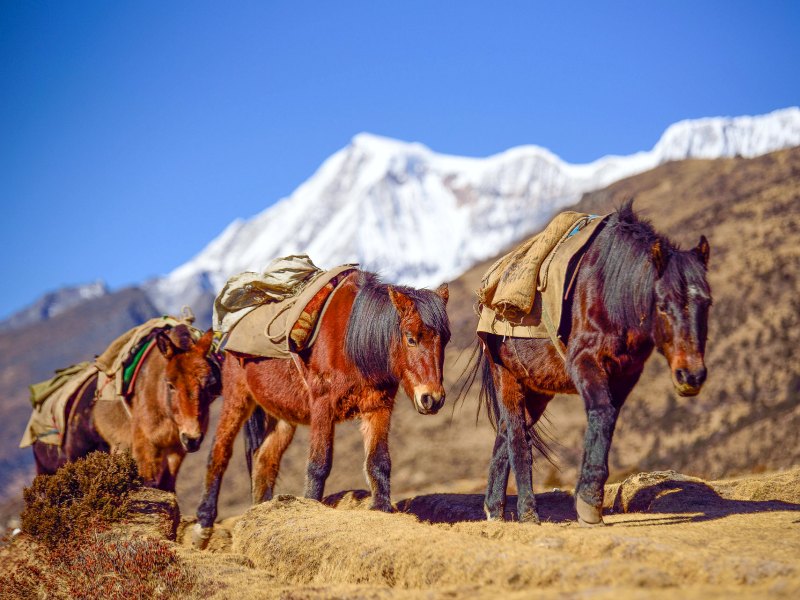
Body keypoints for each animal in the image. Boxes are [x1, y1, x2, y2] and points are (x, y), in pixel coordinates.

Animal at [32, 328, 220, 492]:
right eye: (170, 385)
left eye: (210, 383)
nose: (192, 438)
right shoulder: (144, 448)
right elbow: (149, 483)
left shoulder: (175, 451)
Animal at [191, 272, 446, 548]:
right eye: (411, 338)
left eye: (445, 340)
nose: (432, 399)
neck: (353, 341)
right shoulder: (322, 406)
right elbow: (319, 464)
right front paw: (311, 506)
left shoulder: (378, 407)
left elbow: (379, 461)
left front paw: (381, 508)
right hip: (236, 399)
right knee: (219, 453)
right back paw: (203, 526)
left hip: (282, 417)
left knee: (264, 460)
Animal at [462, 202, 712, 524]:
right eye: (663, 305)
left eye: (707, 303)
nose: (691, 376)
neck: (612, 290)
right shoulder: (585, 362)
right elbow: (601, 413)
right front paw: (589, 505)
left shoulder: (626, 374)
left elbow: (607, 419)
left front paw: (589, 500)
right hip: (506, 375)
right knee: (517, 437)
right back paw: (528, 513)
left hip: (536, 389)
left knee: (505, 433)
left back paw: (495, 511)